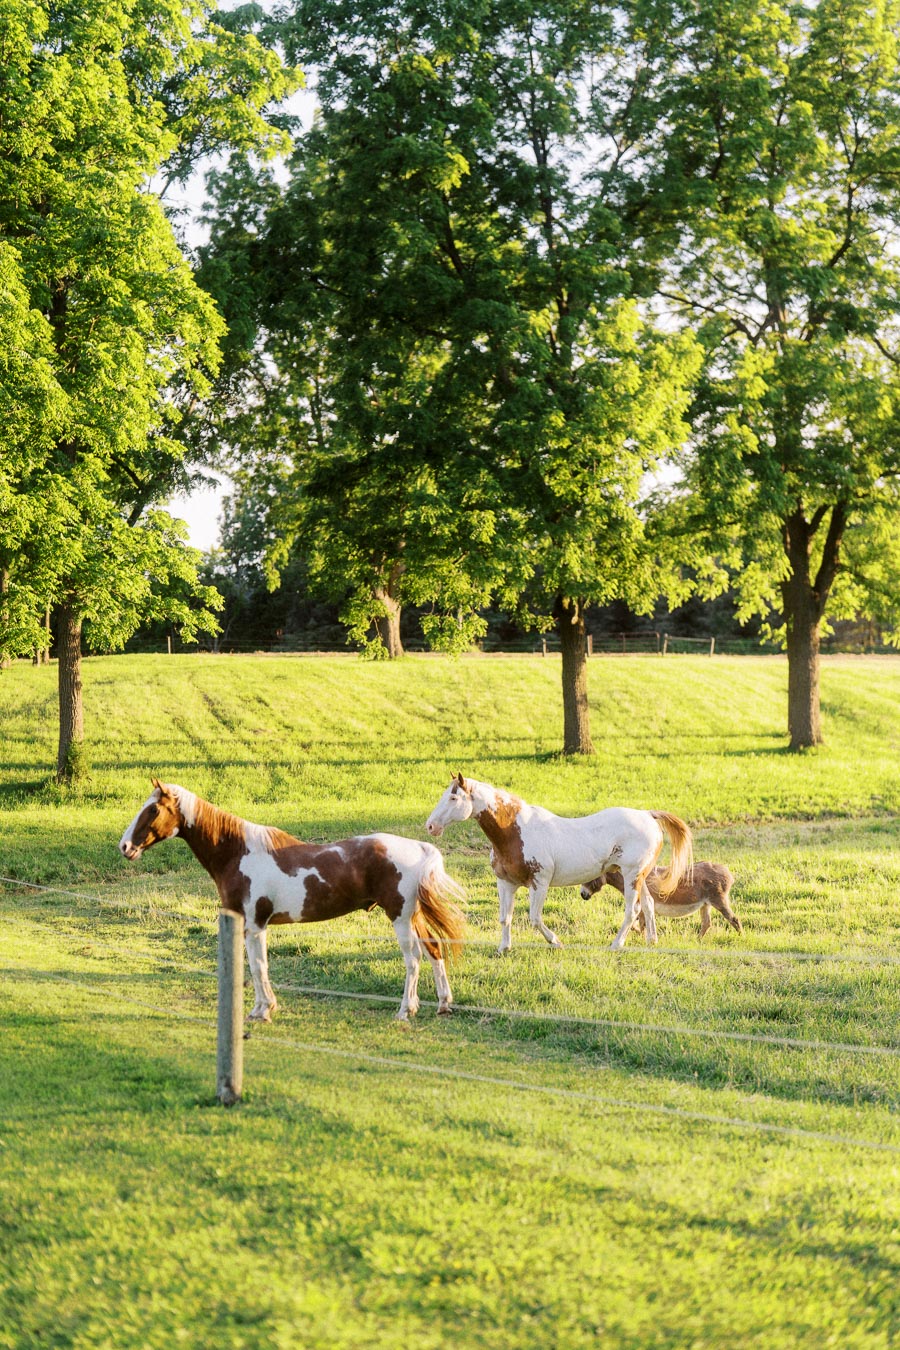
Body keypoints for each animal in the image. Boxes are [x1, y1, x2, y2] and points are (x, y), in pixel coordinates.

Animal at [119, 779, 465, 1022]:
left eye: (153, 810)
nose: (124, 846)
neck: (238, 853)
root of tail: (420, 847)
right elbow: (257, 966)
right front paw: (263, 1007)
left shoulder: (254, 925)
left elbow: (258, 965)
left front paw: (262, 1011)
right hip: (413, 917)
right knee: (434, 950)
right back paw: (442, 1005)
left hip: (400, 918)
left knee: (413, 960)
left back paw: (405, 1010)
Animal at [425, 774, 693, 953]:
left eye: (453, 797)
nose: (430, 826)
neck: (514, 832)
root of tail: (648, 815)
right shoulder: (506, 884)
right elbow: (505, 918)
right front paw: (504, 948)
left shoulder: (539, 884)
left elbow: (534, 918)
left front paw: (555, 941)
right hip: (640, 876)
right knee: (648, 903)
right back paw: (651, 941)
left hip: (631, 876)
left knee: (632, 910)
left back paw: (616, 944)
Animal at [580, 861, 742, 937]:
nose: (582, 895)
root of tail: (727, 872)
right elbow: (638, 924)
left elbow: (641, 924)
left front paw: (641, 937)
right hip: (705, 903)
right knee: (706, 924)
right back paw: (697, 941)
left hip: (718, 900)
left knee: (734, 919)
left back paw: (741, 937)